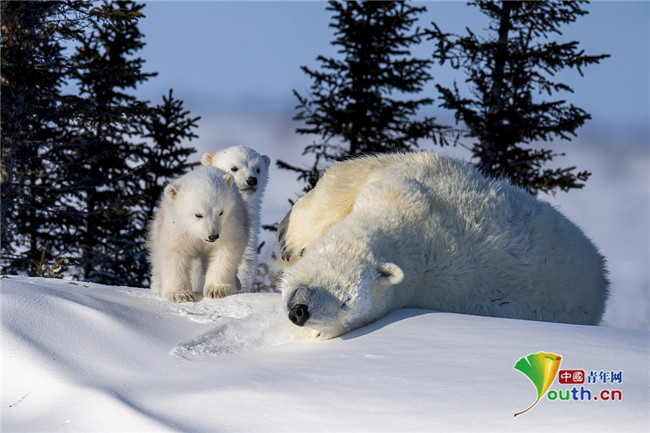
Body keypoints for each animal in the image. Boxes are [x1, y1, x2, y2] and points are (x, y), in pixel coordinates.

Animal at [278, 153, 608, 340]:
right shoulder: (417, 183)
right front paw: (289, 241)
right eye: (342, 293)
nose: (299, 312)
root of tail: (603, 278)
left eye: (345, 303)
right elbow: (343, 183)